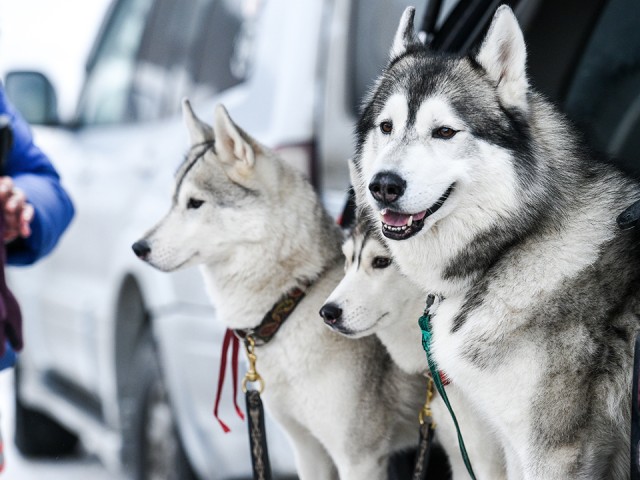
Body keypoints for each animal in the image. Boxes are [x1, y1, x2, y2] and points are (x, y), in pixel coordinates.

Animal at [132, 101, 428, 480]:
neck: (292, 301)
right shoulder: (307, 450)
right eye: (173, 202)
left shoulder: (358, 458)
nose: (138, 247)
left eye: (195, 203)